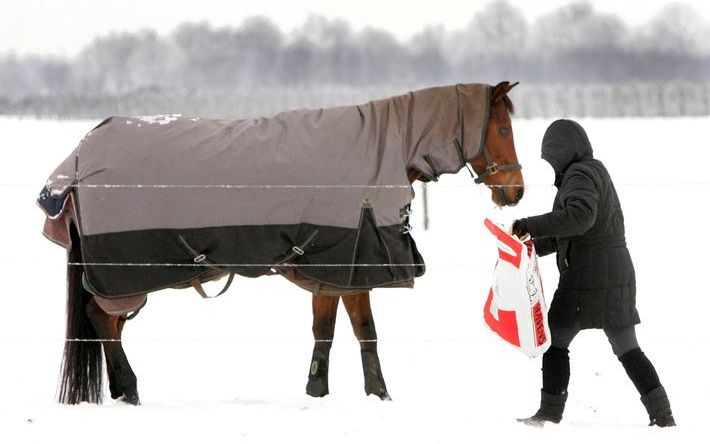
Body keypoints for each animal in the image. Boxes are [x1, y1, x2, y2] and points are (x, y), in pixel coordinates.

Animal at [43, 80, 524, 406]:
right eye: (502, 128)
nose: (516, 191)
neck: (381, 153)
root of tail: (79, 157)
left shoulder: (331, 271)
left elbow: (329, 331)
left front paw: (321, 390)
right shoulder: (349, 268)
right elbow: (365, 332)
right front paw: (379, 394)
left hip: (122, 280)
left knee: (108, 324)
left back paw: (121, 390)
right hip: (125, 275)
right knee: (102, 321)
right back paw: (130, 390)